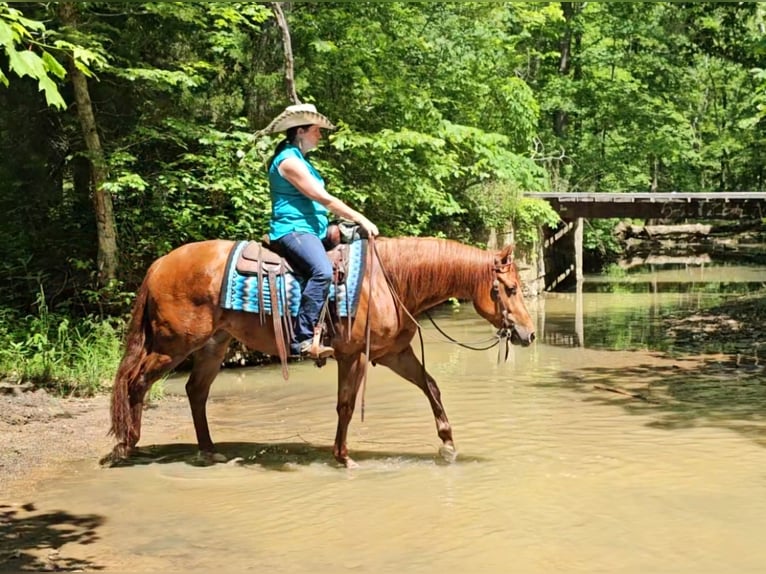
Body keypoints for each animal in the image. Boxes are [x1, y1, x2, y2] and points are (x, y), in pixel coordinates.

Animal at [111, 237, 536, 468]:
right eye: (511, 289)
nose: (529, 334)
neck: (387, 280)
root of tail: (160, 264)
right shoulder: (355, 356)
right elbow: (345, 406)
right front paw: (343, 456)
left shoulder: (395, 354)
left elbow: (431, 387)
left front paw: (448, 445)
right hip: (173, 344)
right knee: (135, 382)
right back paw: (125, 447)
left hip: (214, 345)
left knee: (195, 391)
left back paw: (208, 450)